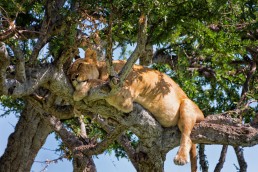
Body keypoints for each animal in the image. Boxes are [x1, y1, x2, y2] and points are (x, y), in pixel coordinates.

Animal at [68, 48, 204, 172]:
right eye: (69, 74)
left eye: (80, 65)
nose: (73, 78)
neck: (102, 69)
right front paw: (78, 108)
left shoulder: (123, 94)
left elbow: (95, 81)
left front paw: (79, 92)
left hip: (187, 105)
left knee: (187, 134)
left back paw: (181, 158)